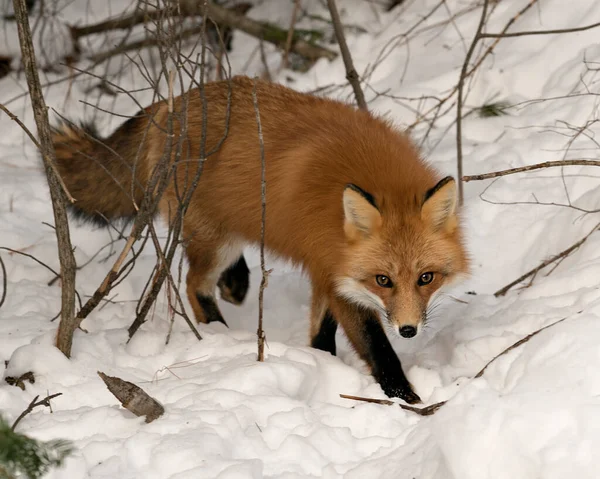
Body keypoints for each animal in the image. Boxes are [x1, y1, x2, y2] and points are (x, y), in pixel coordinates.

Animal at [50, 76, 468, 404]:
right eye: (383, 280)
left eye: (426, 278)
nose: (408, 330)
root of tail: (171, 104)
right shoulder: (336, 273)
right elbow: (376, 346)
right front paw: (403, 395)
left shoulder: (327, 267)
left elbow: (322, 331)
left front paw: (322, 364)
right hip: (213, 238)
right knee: (194, 285)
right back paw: (218, 332)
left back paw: (236, 282)